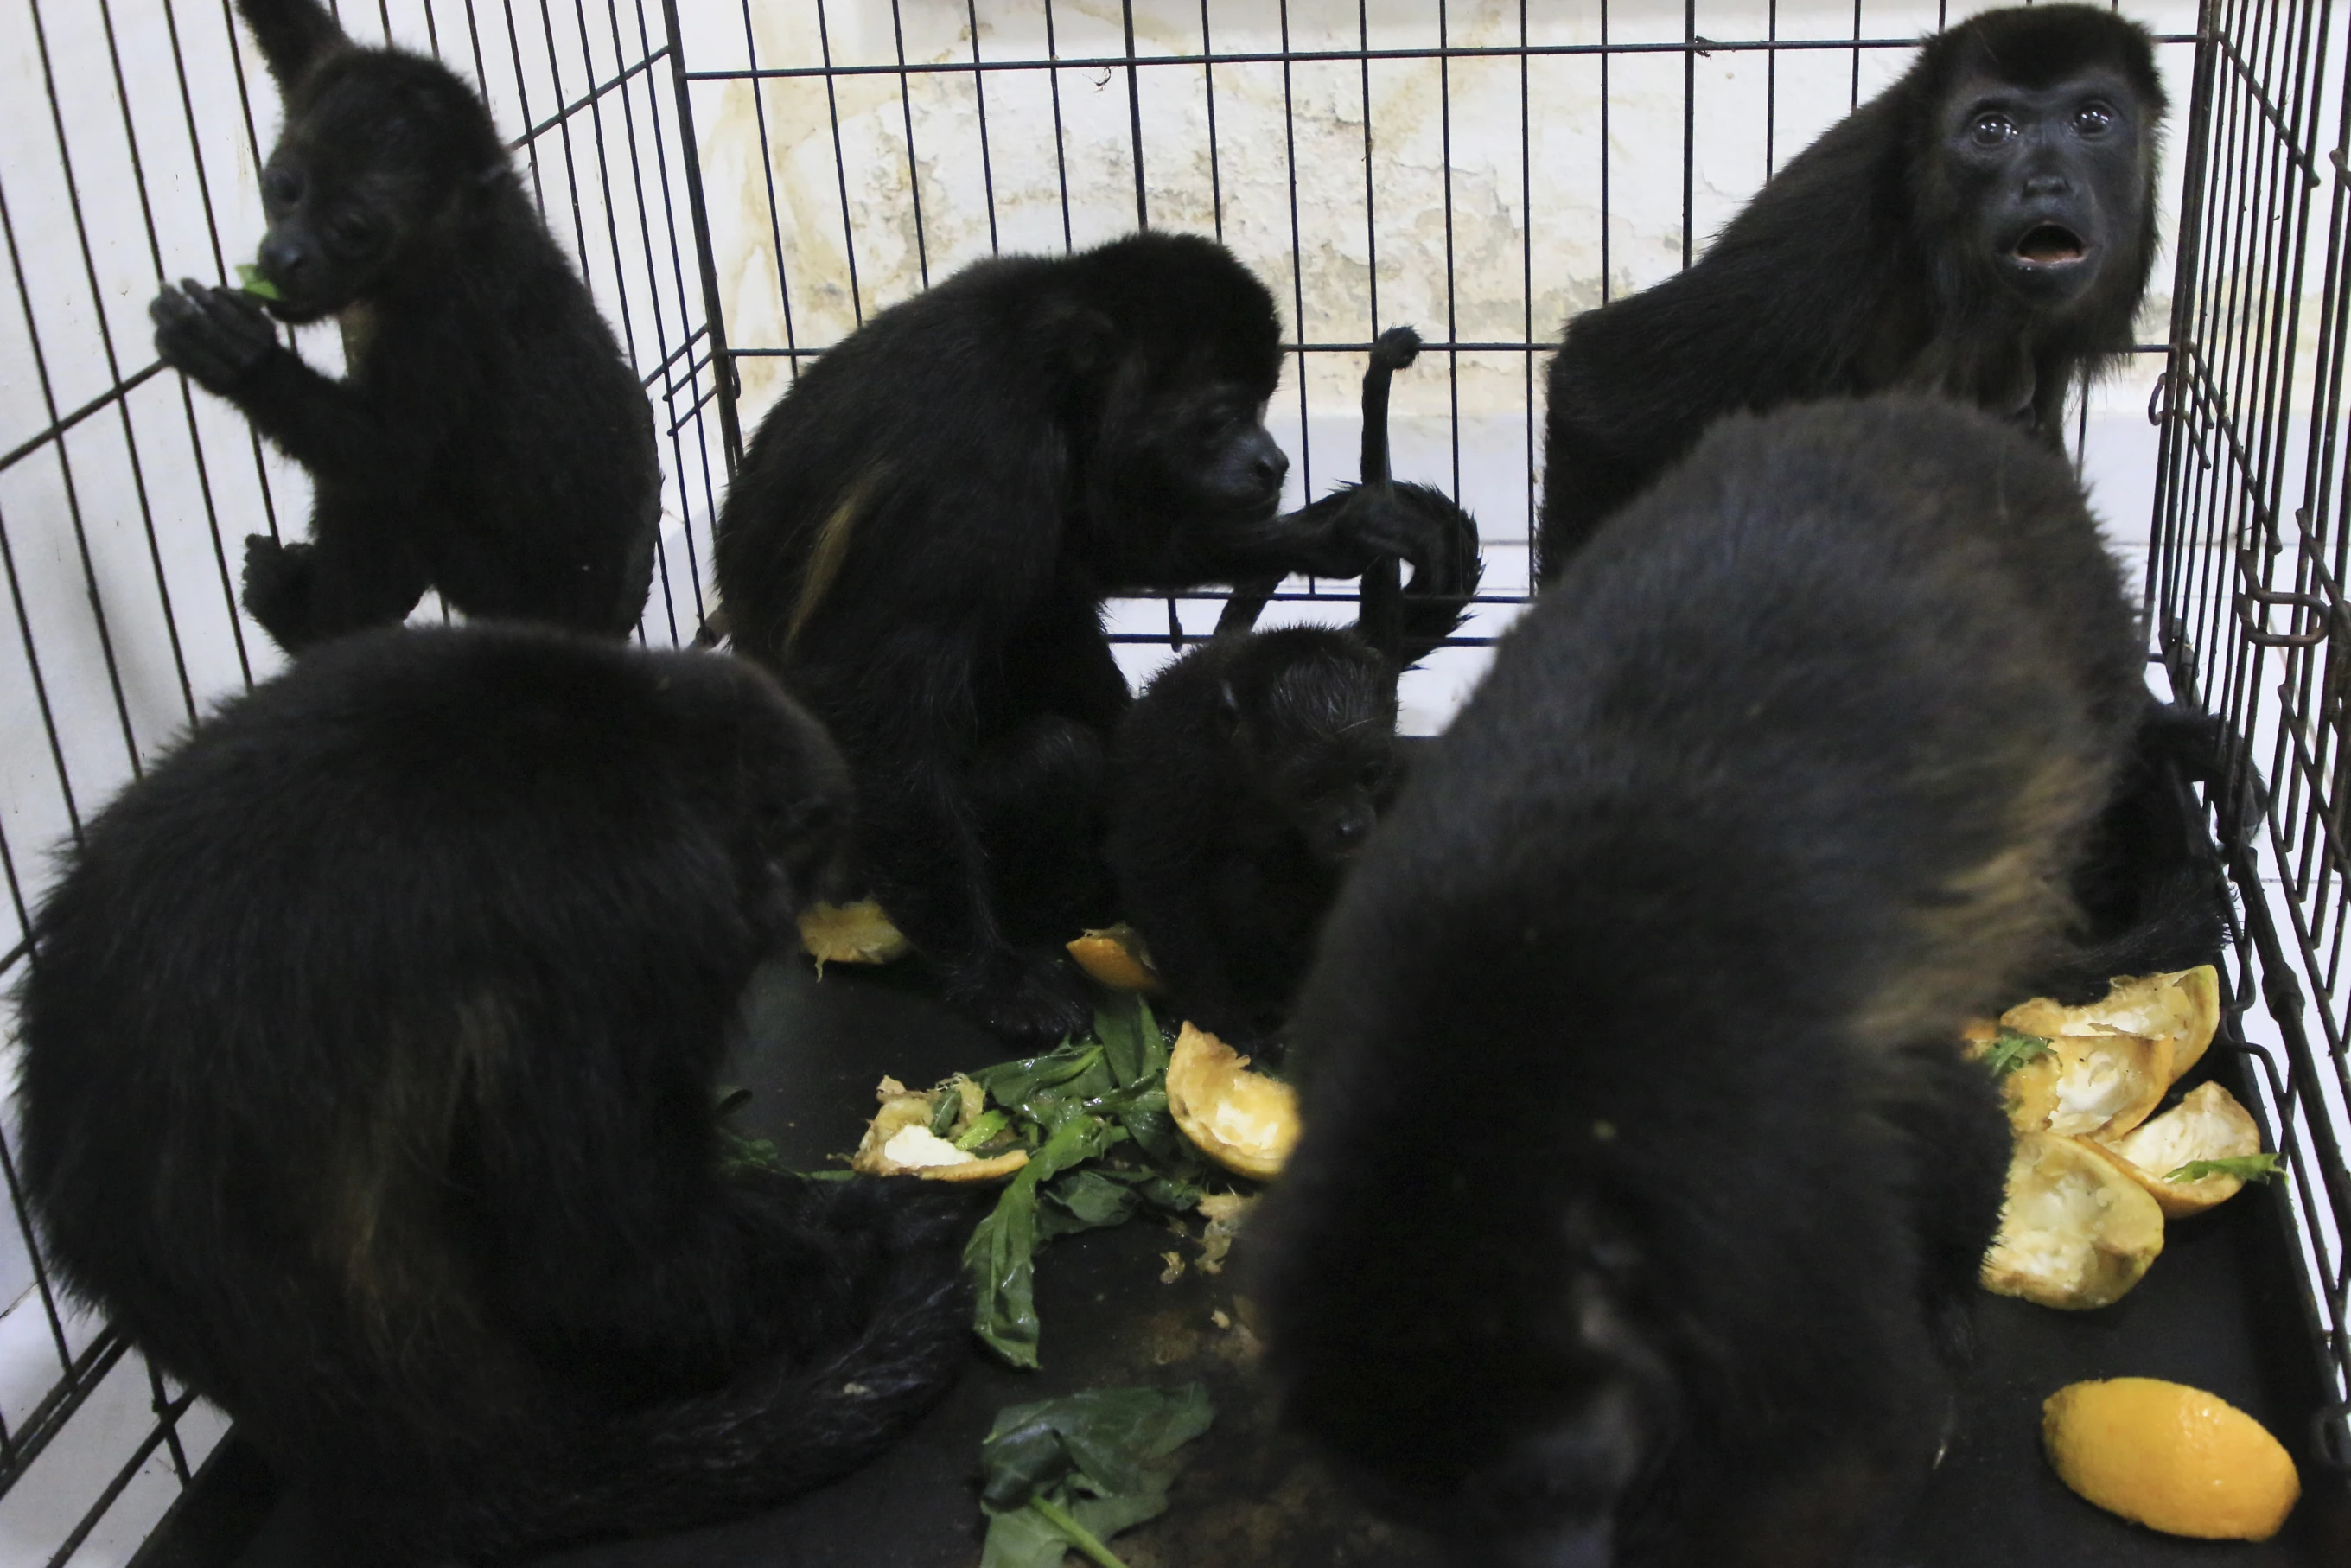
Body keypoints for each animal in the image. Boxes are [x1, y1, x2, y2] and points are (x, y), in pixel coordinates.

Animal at [147, 0, 663, 653]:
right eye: (284, 188)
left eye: (352, 228)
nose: (284, 256)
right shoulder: (329, 69)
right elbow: (295, 31)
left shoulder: (446, 315)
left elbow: (390, 459)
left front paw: (238, 360)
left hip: (498, 590)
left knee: (384, 497)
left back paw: (310, 630)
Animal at [710, 233, 1467, 1043]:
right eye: (1222, 416)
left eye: (1263, 406)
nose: (1273, 461)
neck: (1044, 365)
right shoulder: (977, 463)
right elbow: (867, 693)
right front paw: (993, 979)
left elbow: (1096, 547)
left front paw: (1329, 535)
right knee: (1052, 751)